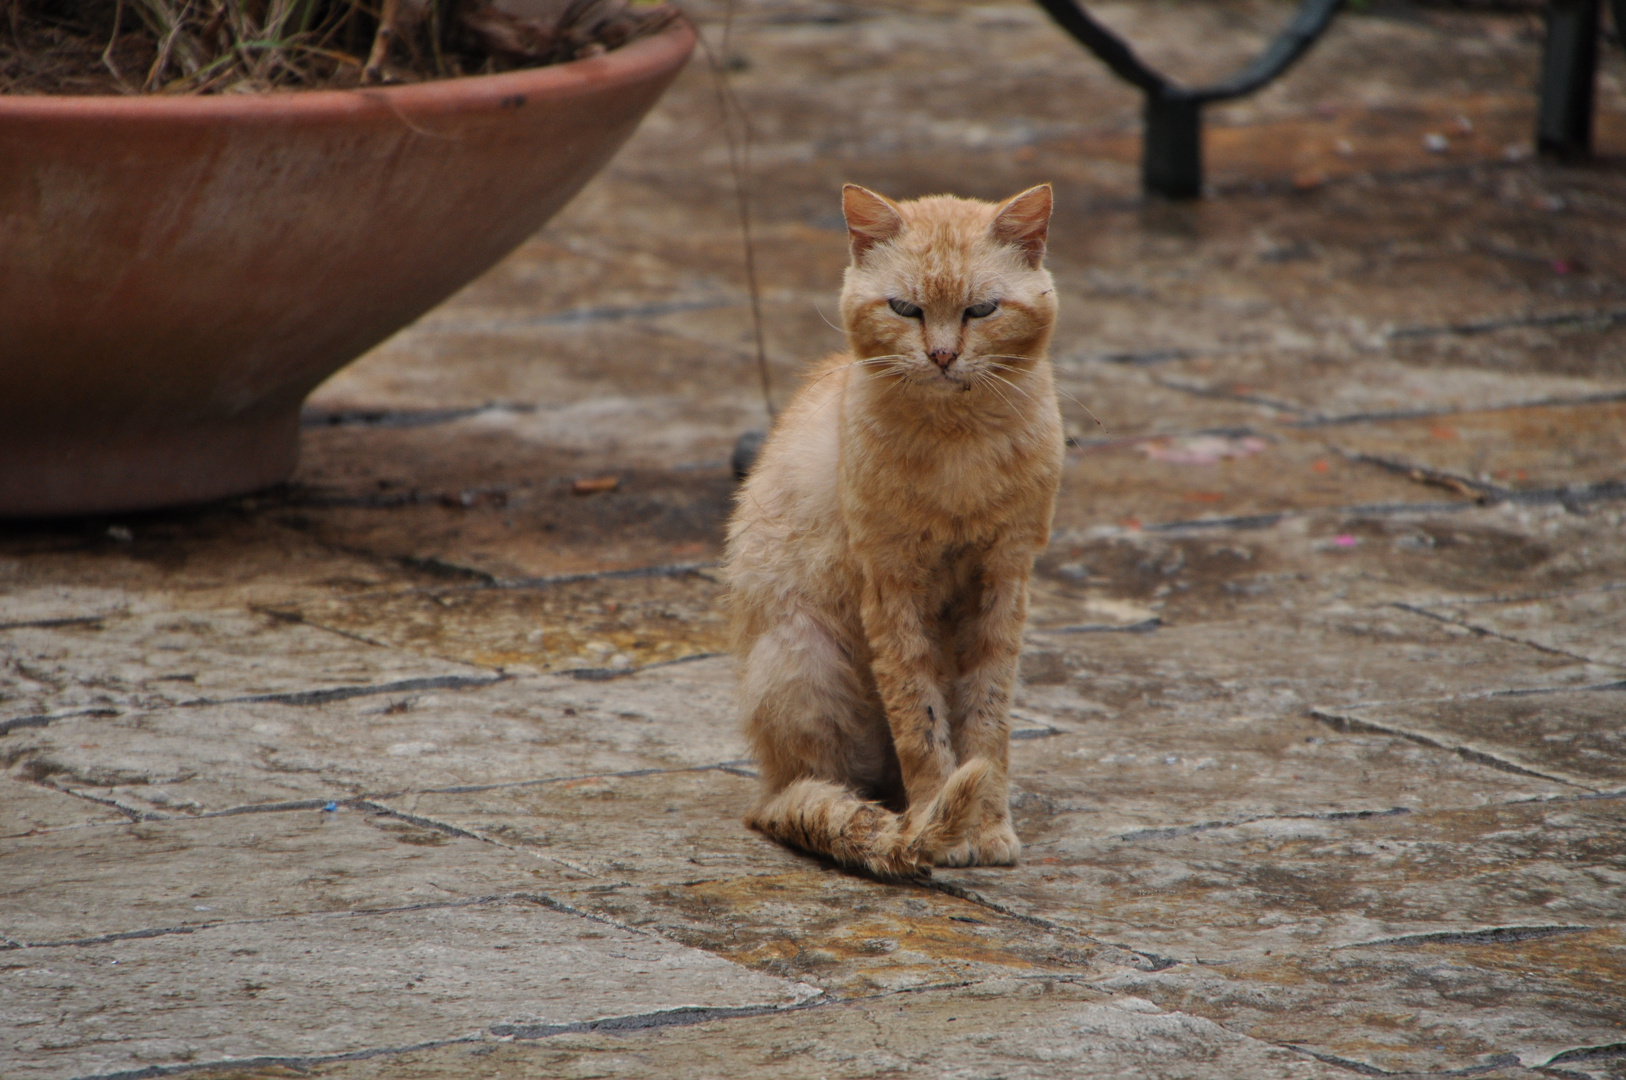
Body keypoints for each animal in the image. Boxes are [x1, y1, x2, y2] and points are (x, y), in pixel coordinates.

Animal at [728, 183, 1066, 878]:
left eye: (981, 309)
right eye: (905, 309)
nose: (941, 354)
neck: (959, 443)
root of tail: (765, 788)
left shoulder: (1005, 581)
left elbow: (987, 722)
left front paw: (988, 825)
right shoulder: (891, 587)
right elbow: (921, 718)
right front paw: (943, 820)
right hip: (806, 658)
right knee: (807, 795)